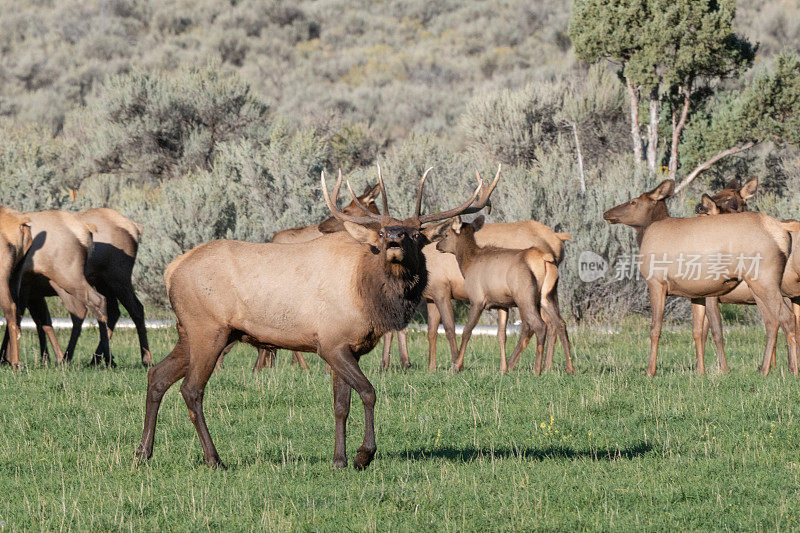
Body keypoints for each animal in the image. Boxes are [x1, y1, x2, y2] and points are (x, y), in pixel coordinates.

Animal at [133, 167, 494, 470]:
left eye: (417, 235)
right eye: (380, 235)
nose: (393, 238)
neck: (368, 296)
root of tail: (171, 270)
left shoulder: (349, 347)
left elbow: (341, 404)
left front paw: (339, 460)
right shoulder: (331, 344)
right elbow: (368, 392)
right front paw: (363, 455)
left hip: (189, 332)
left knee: (157, 376)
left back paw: (143, 452)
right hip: (208, 329)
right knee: (191, 389)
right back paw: (214, 459)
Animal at [434, 214, 572, 372]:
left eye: (446, 234)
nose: (437, 246)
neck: (467, 265)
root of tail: (544, 260)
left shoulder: (476, 299)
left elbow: (467, 331)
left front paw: (456, 366)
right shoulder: (502, 305)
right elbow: (501, 335)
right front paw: (502, 369)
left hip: (524, 296)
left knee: (539, 325)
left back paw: (537, 369)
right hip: (548, 296)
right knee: (560, 323)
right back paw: (569, 368)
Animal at [604, 181, 796, 376]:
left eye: (633, 202)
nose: (607, 213)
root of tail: (782, 230)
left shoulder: (657, 283)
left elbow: (655, 329)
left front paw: (650, 371)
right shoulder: (696, 293)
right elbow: (697, 332)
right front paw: (700, 371)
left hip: (765, 281)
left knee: (786, 318)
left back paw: (792, 370)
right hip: (759, 286)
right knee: (773, 321)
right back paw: (765, 369)